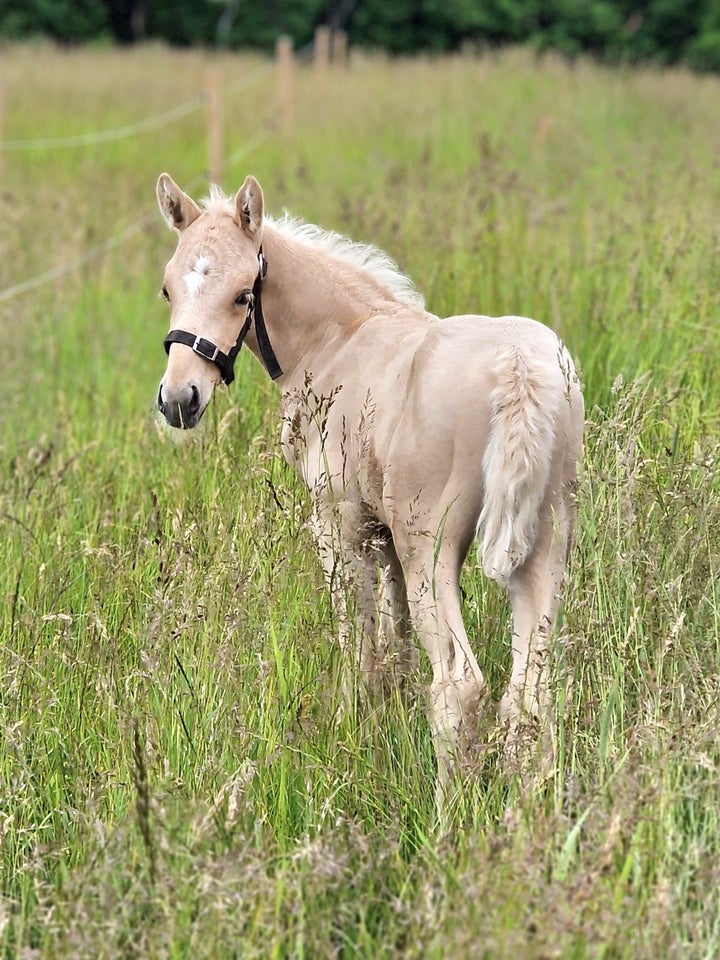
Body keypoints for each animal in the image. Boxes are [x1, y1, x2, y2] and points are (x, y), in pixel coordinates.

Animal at [155, 171, 584, 796]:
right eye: (168, 289)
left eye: (242, 295)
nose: (179, 400)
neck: (338, 340)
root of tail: (517, 370)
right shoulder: (384, 536)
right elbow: (395, 638)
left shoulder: (339, 525)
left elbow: (358, 639)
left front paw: (352, 730)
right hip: (546, 539)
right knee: (530, 692)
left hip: (431, 544)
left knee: (460, 684)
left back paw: (449, 810)